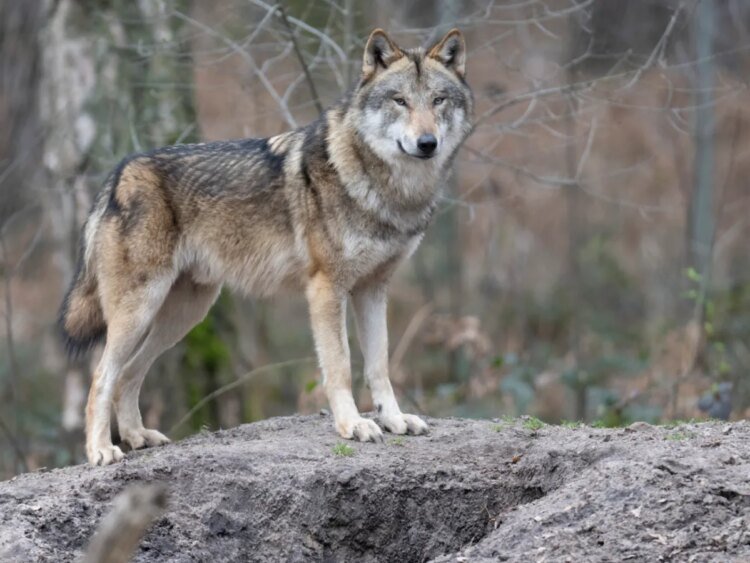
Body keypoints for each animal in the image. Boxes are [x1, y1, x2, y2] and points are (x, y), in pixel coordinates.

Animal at [59, 28, 474, 465]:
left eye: (438, 100)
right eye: (400, 100)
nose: (427, 143)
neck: (388, 190)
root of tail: (119, 173)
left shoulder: (373, 290)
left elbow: (379, 366)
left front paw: (394, 420)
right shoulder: (327, 289)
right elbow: (341, 366)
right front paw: (352, 425)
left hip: (183, 315)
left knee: (129, 374)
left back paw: (138, 437)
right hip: (141, 311)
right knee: (102, 376)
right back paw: (101, 450)